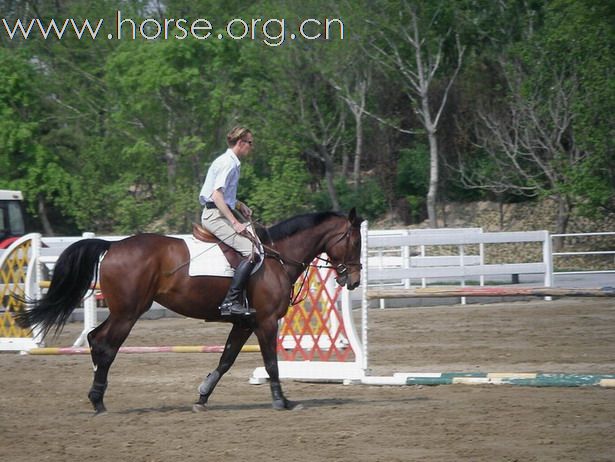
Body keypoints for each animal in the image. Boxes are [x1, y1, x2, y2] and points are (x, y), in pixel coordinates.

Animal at [16, 208, 364, 414]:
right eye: (355, 242)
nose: (355, 280)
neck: (277, 257)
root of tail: (113, 246)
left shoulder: (244, 323)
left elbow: (225, 360)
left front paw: (202, 396)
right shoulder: (265, 322)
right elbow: (271, 363)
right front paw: (282, 401)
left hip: (123, 311)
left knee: (94, 338)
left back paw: (96, 395)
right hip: (129, 313)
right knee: (105, 345)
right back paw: (98, 399)